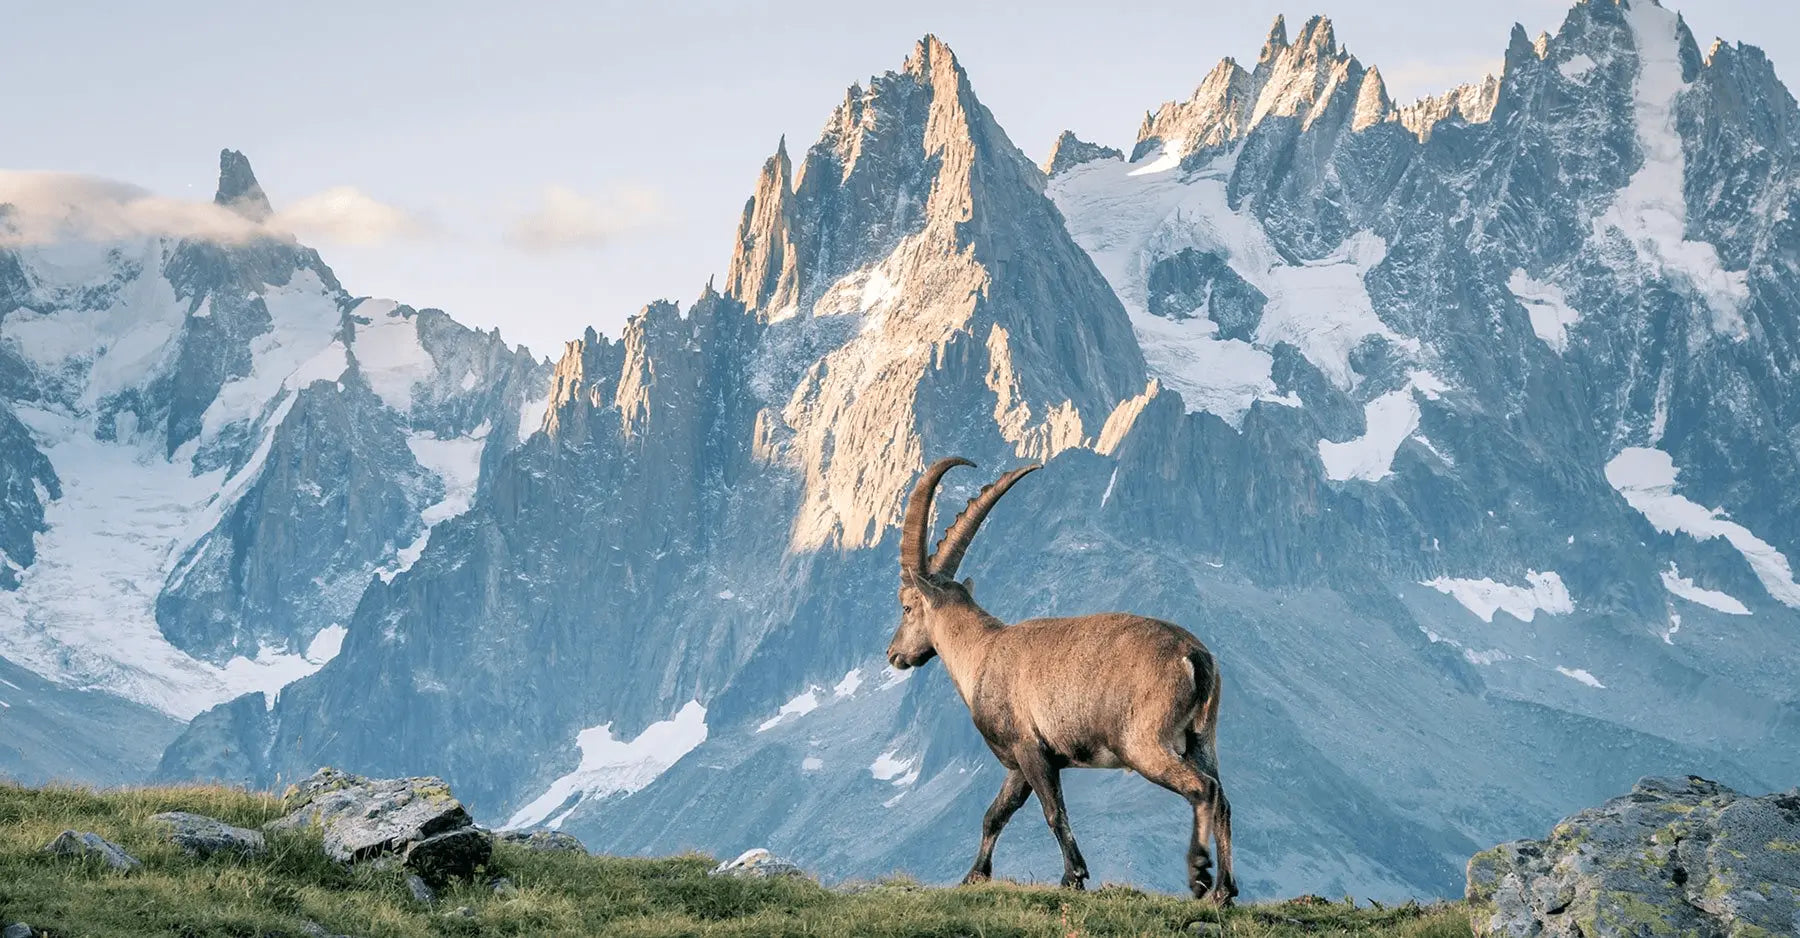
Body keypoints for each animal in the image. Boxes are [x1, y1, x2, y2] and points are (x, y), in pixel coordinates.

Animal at [885, 457, 1236, 904]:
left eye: (907, 607)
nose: (894, 654)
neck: (982, 652)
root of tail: (1195, 657)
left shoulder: (1031, 748)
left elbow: (1053, 811)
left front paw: (1073, 876)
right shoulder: (1022, 760)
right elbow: (995, 814)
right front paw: (974, 875)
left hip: (1143, 742)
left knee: (1202, 788)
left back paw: (1200, 873)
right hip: (1201, 737)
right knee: (1222, 797)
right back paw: (1226, 890)